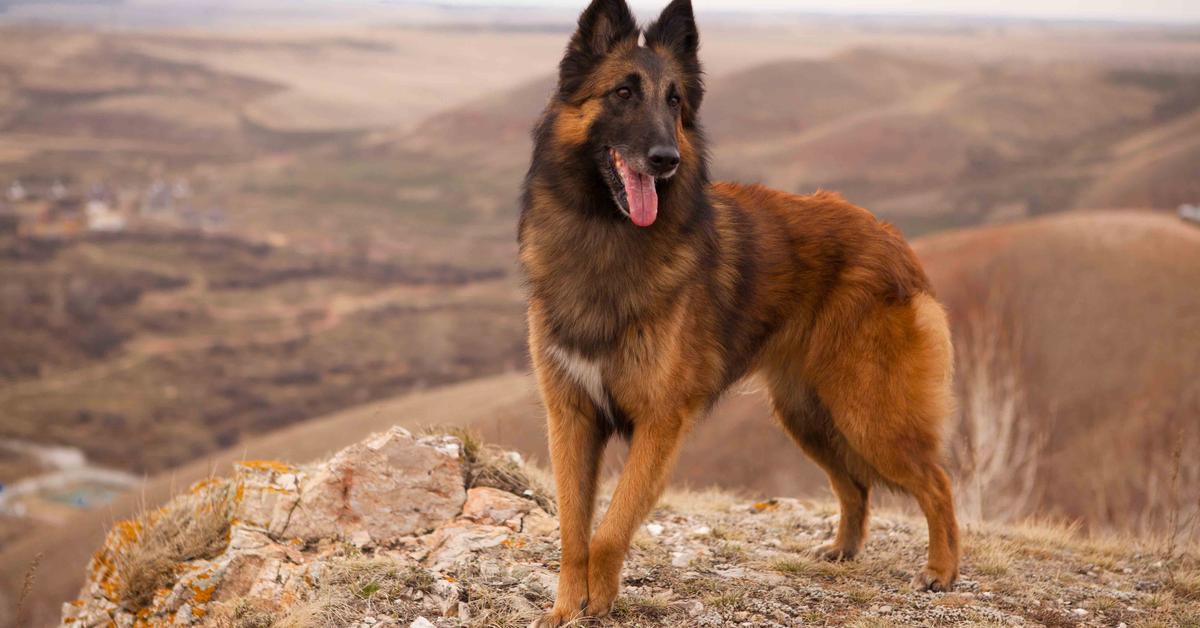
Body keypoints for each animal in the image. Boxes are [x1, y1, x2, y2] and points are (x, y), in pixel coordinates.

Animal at [520, 0, 960, 624]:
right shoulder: (572, 416)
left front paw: (598, 603)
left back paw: (941, 571)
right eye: (623, 92)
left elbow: (609, 529)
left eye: (675, 101)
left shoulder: (660, 422)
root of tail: (895, 241)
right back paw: (843, 548)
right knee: (856, 486)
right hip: (808, 414)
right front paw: (564, 608)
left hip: (868, 412)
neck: (607, 236)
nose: (666, 159)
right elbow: (572, 530)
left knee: (936, 483)